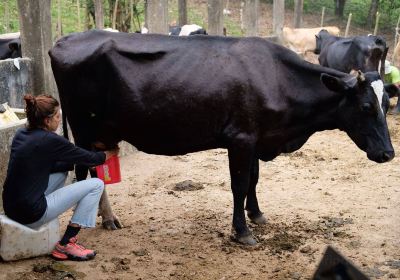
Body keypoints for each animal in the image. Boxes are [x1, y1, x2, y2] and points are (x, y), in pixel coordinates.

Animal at [49, 30, 394, 245]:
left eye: (387, 103)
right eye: (366, 106)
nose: (388, 153)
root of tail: (64, 40)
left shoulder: (256, 138)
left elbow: (254, 179)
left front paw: (257, 215)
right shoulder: (240, 138)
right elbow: (239, 184)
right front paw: (242, 232)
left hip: (100, 131)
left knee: (98, 169)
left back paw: (108, 218)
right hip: (83, 128)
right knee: (85, 171)